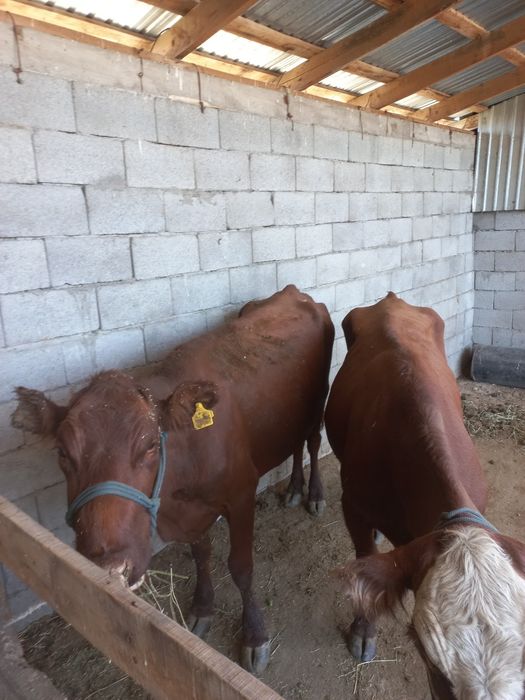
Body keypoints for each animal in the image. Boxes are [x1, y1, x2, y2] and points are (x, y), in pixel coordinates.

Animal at [12, 285, 334, 674]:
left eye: (150, 444)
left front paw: (254, 634)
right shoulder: (191, 514)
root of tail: (293, 292)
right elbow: (201, 554)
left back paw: (312, 494)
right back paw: (294, 489)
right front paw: (202, 607)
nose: (108, 568)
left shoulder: (241, 495)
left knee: (312, 440)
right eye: (62, 451)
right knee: (296, 440)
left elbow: (241, 567)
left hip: (318, 399)